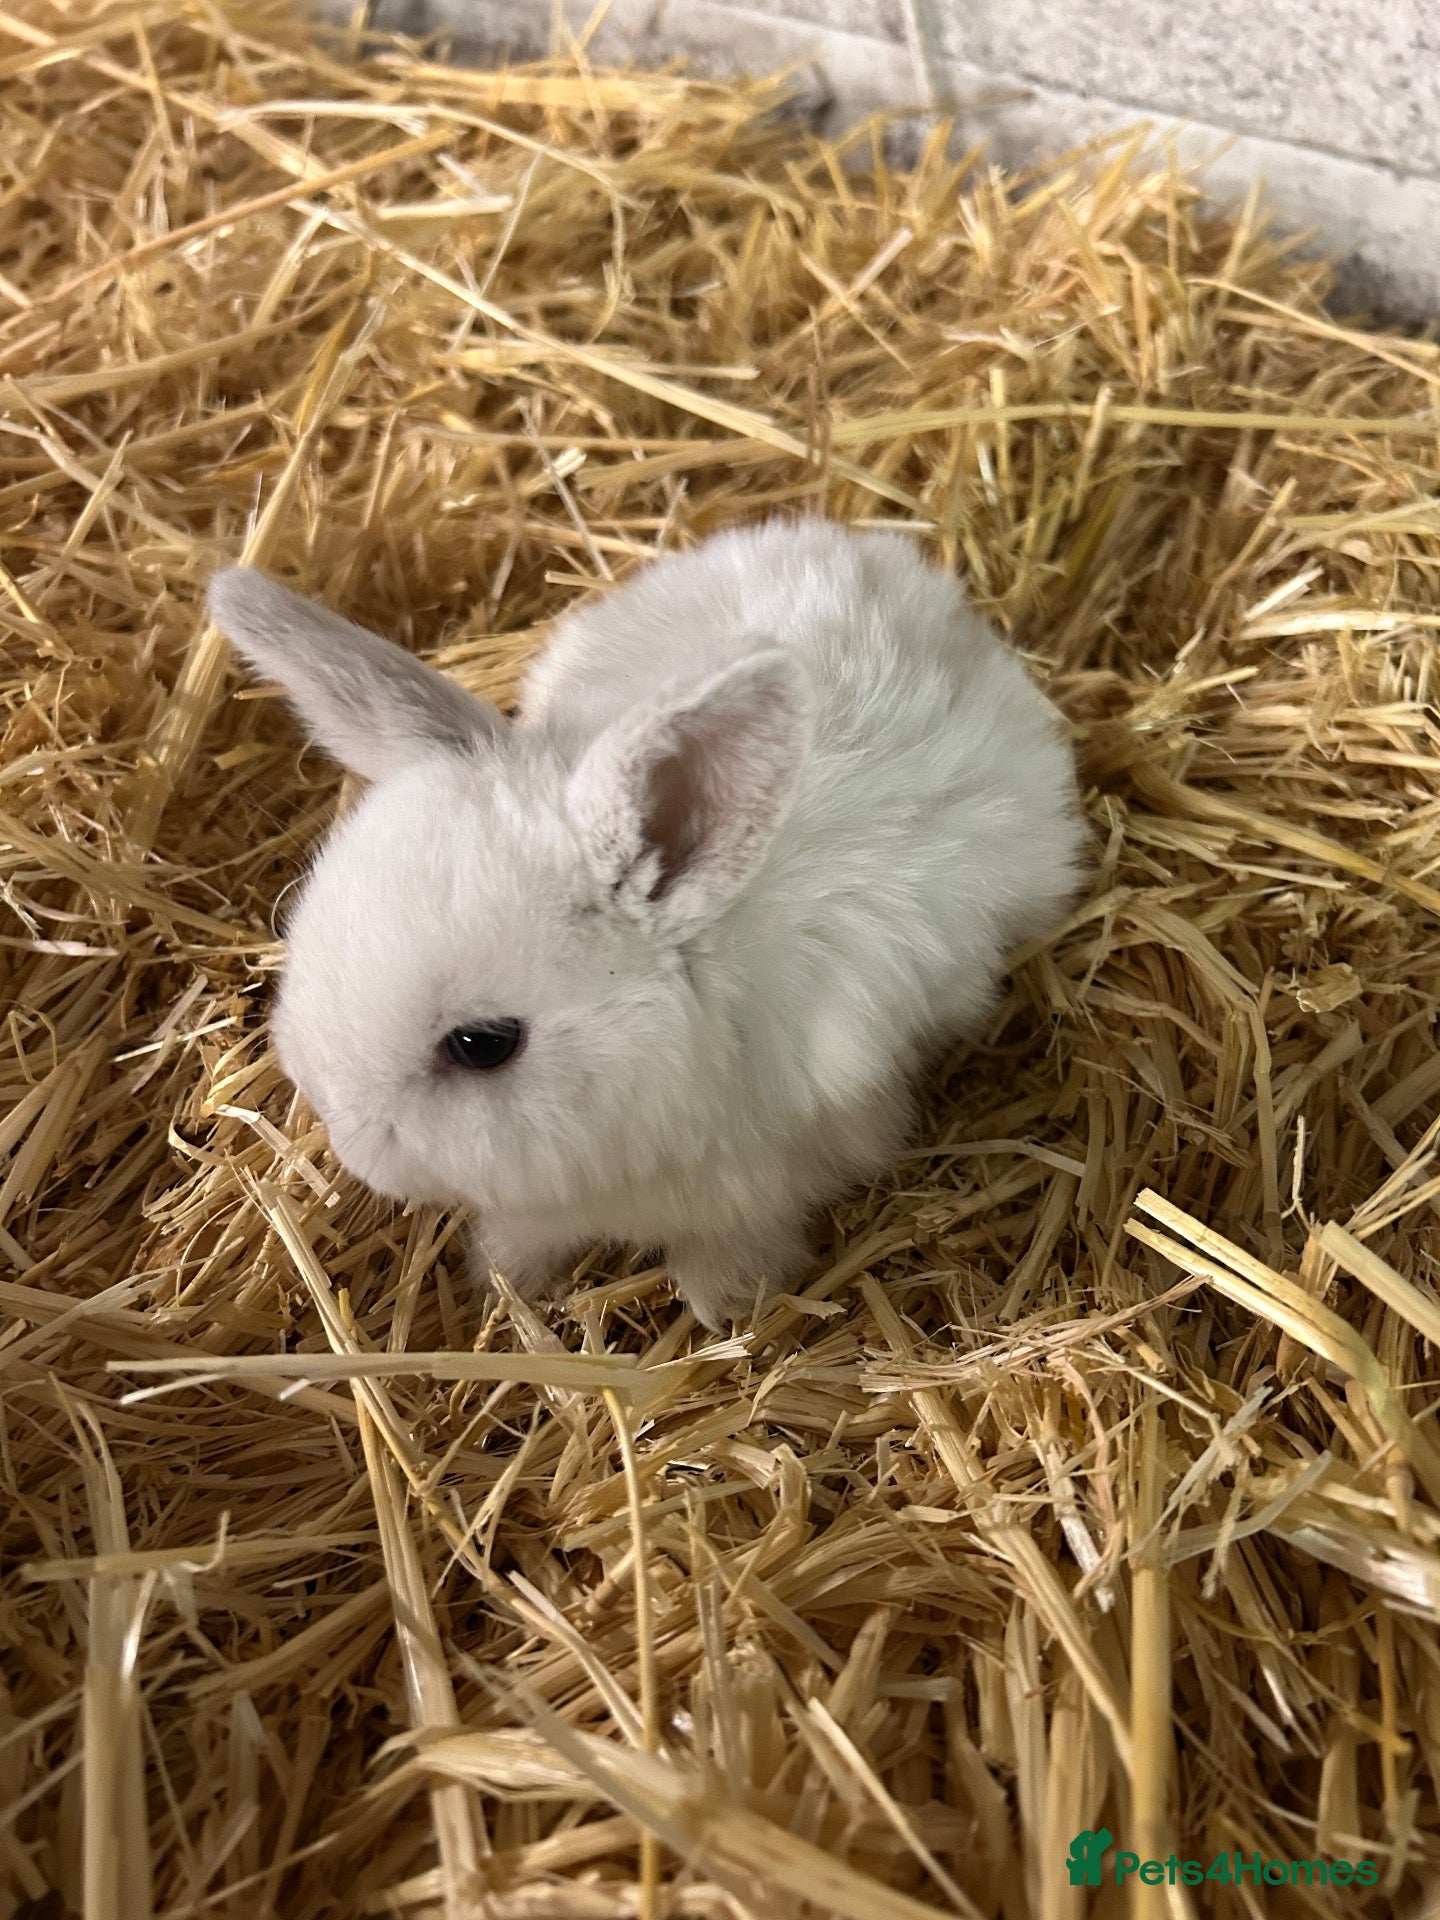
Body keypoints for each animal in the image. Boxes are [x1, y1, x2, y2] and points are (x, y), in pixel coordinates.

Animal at [209, 517, 1087, 1331]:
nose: (350, 1143)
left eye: (482, 1044)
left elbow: (741, 1243)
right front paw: (502, 1281)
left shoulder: (783, 1173)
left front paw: (722, 1307)